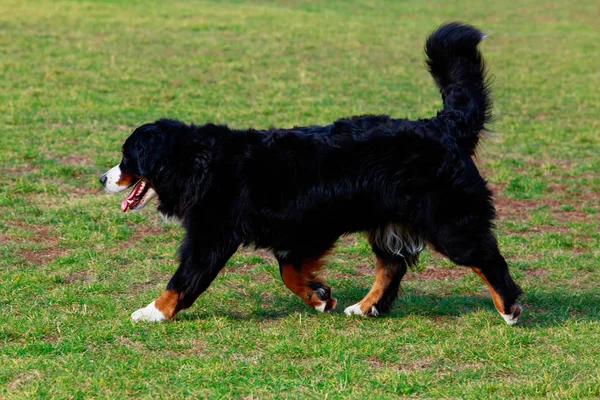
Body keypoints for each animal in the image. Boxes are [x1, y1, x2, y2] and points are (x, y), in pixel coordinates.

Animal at [101, 22, 524, 324]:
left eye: (126, 157)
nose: (102, 178)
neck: (195, 162)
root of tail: (443, 126)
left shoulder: (213, 236)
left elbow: (184, 278)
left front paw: (153, 311)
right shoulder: (302, 229)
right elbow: (288, 271)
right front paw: (320, 297)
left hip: (449, 222)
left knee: (486, 257)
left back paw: (509, 308)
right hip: (387, 221)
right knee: (392, 265)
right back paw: (365, 307)